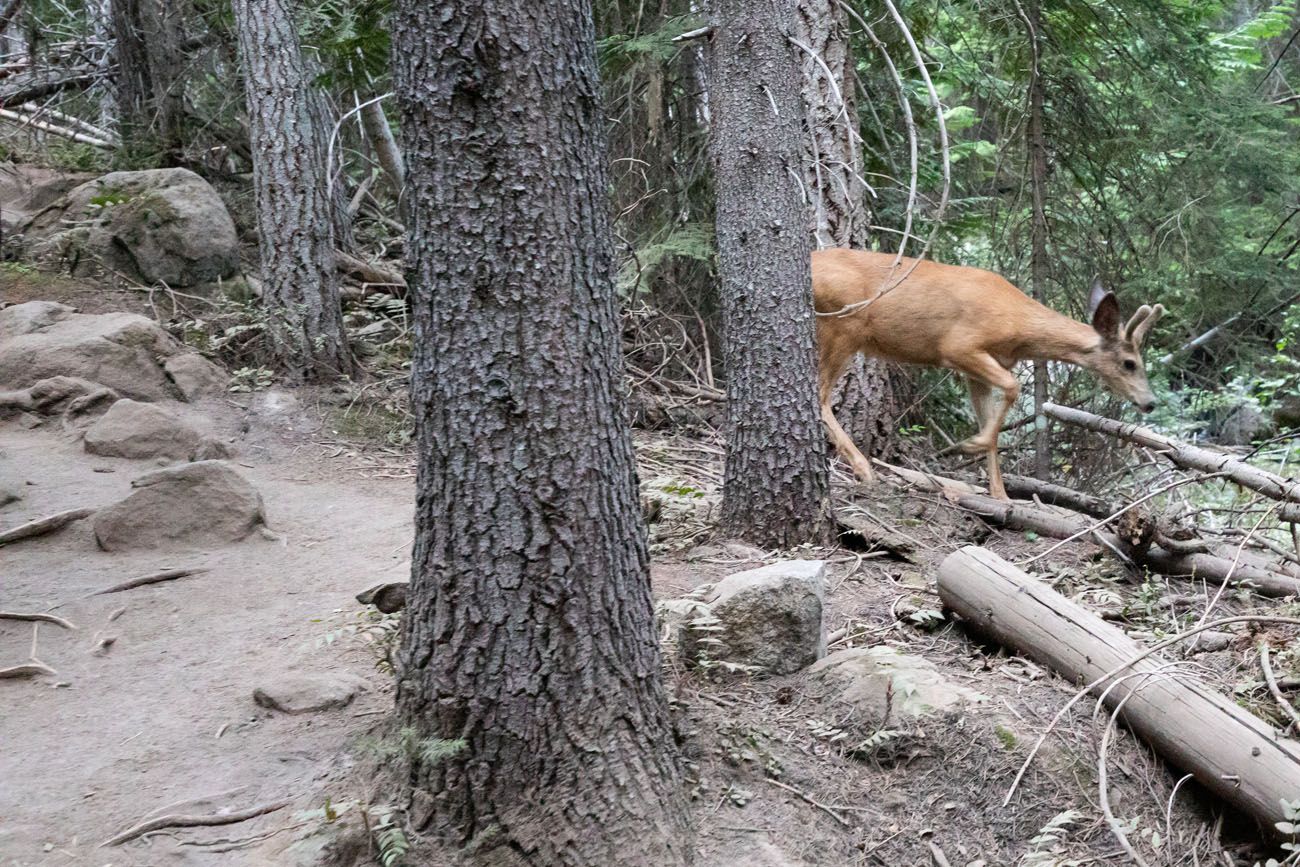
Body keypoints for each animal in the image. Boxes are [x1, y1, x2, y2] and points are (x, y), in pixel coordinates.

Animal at [811, 246, 1170, 499]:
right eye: (1130, 363)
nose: (1150, 402)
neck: (1018, 325)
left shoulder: (976, 370)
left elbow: (993, 422)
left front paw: (1001, 494)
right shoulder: (958, 346)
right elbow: (1012, 388)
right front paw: (970, 445)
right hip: (841, 326)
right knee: (821, 395)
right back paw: (864, 469)